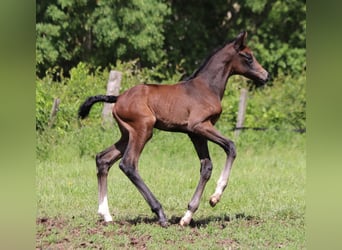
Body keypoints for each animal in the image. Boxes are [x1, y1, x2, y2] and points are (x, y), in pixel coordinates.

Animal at [78, 30, 270, 227]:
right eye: (248, 57)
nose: (265, 75)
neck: (207, 87)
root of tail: (117, 98)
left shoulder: (195, 134)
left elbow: (206, 167)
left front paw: (187, 216)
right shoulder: (200, 125)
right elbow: (230, 146)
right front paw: (215, 198)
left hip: (127, 134)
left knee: (103, 159)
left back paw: (106, 215)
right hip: (143, 129)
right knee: (128, 164)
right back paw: (160, 214)